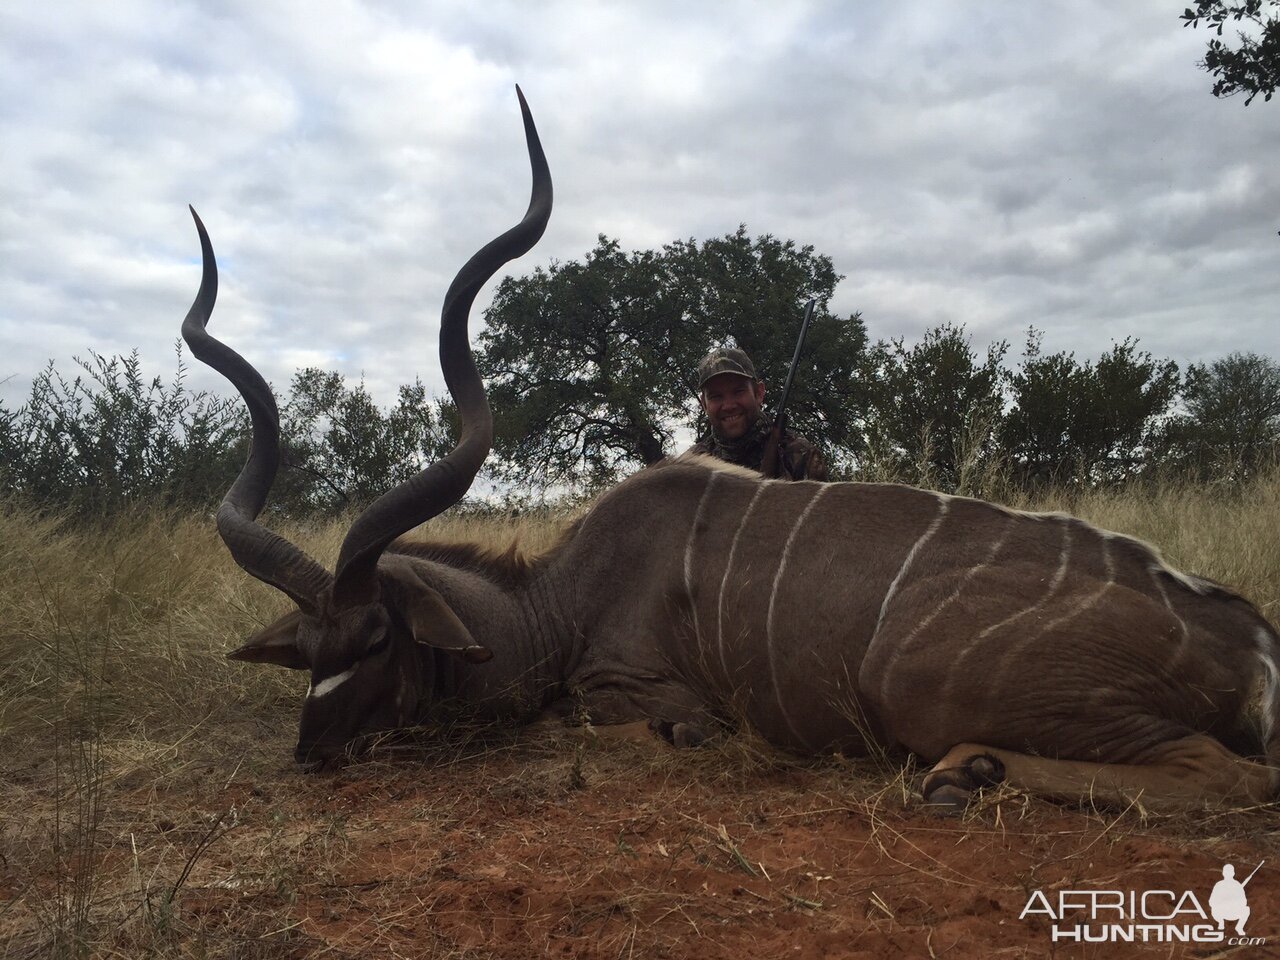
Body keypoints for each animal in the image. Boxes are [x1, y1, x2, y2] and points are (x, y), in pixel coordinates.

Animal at [183, 90, 1280, 814]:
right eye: (306, 651)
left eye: (376, 639)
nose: (312, 755)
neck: (562, 599)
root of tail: (1251, 646)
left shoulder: (635, 695)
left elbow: (628, 725)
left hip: (928, 687)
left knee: (1223, 774)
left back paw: (963, 775)